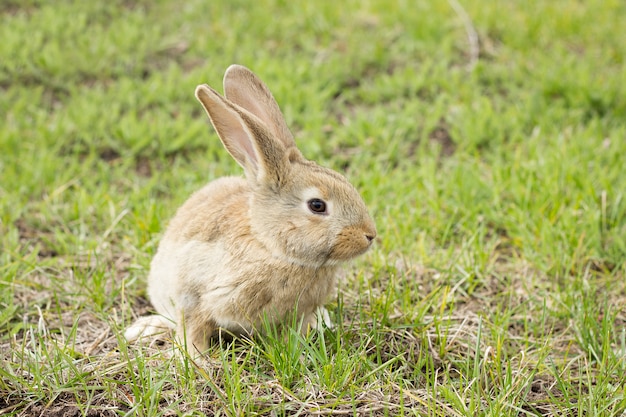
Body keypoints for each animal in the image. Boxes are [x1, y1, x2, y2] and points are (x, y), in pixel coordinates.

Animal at [124, 64, 372, 352]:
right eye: (317, 205)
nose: (370, 235)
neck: (270, 247)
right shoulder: (193, 296)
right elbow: (193, 329)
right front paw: (197, 359)